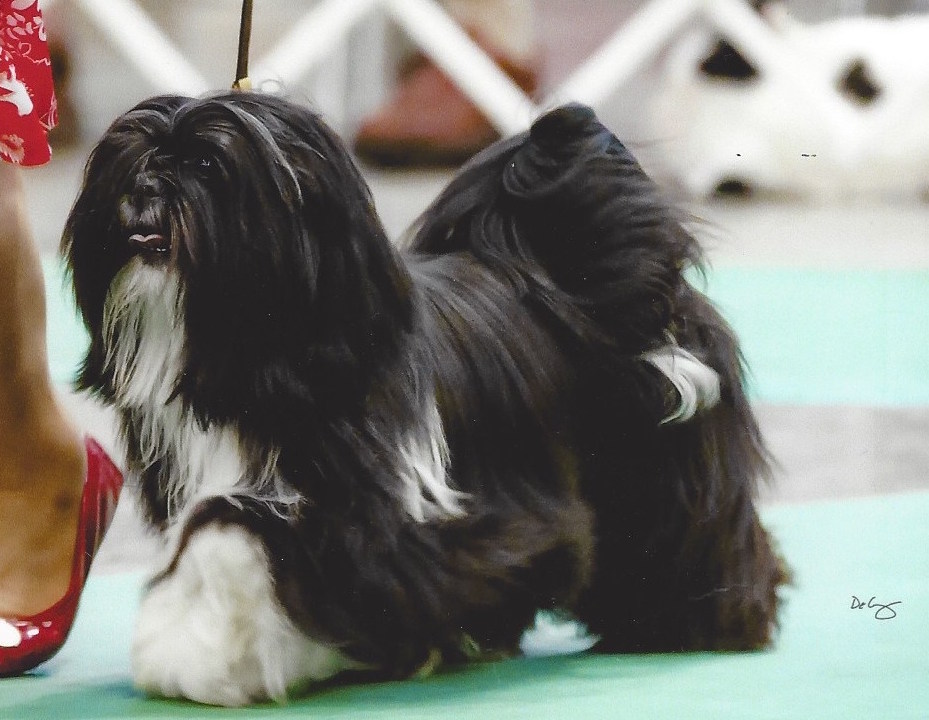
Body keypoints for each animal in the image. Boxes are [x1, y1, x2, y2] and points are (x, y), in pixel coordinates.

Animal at [61, 93, 788, 704]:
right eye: (128, 162)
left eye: (207, 165)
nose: (142, 191)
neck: (262, 369)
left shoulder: (375, 515)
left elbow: (227, 530)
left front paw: (194, 654)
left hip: (660, 462)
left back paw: (700, 622)